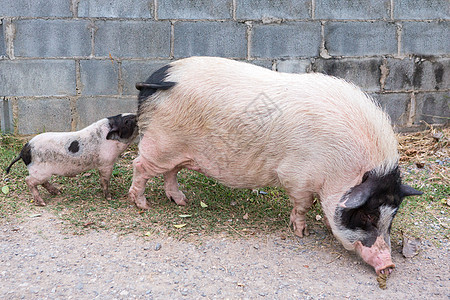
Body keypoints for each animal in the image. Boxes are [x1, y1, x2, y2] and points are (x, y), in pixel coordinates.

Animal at [129, 57, 422, 276]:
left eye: (392, 217)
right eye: (368, 215)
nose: (388, 264)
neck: (341, 168)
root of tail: (162, 77)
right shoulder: (297, 175)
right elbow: (303, 205)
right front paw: (302, 233)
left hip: (175, 149)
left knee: (171, 171)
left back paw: (182, 202)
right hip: (159, 143)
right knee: (140, 165)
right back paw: (142, 204)